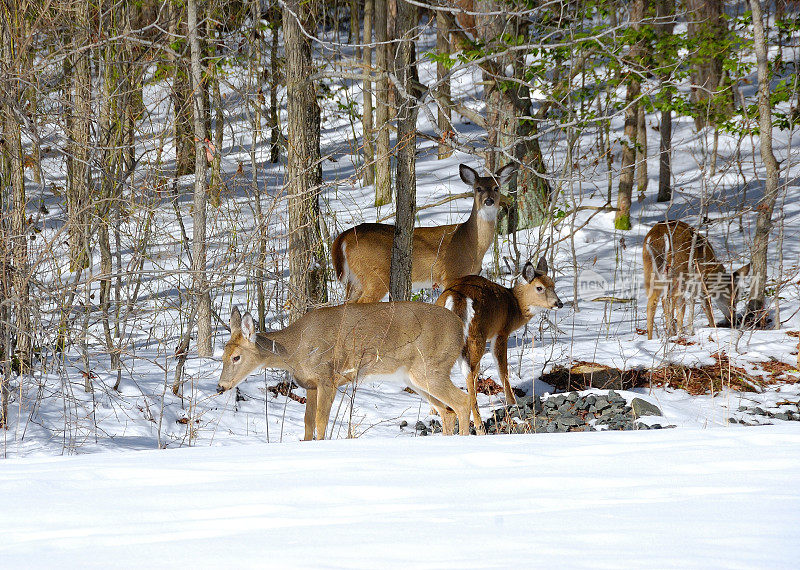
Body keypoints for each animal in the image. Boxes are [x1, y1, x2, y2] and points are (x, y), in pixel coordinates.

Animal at [216, 304, 472, 438]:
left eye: (236, 357)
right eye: (222, 355)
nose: (221, 386)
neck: (295, 351)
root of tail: (461, 328)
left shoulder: (327, 377)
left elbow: (320, 421)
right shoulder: (310, 384)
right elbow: (308, 422)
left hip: (431, 367)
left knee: (462, 401)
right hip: (416, 378)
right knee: (447, 410)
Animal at [332, 162, 516, 302]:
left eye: (496, 187)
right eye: (478, 188)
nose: (489, 201)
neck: (470, 243)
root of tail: (343, 237)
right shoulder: (450, 275)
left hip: (355, 280)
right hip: (374, 276)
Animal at [438, 256, 564, 430]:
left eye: (553, 285)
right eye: (539, 287)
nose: (559, 303)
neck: (515, 306)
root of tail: (456, 298)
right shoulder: (502, 331)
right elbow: (502, 369)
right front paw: (512, 401)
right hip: (476, 336)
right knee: (470, 373)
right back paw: (479, 425)